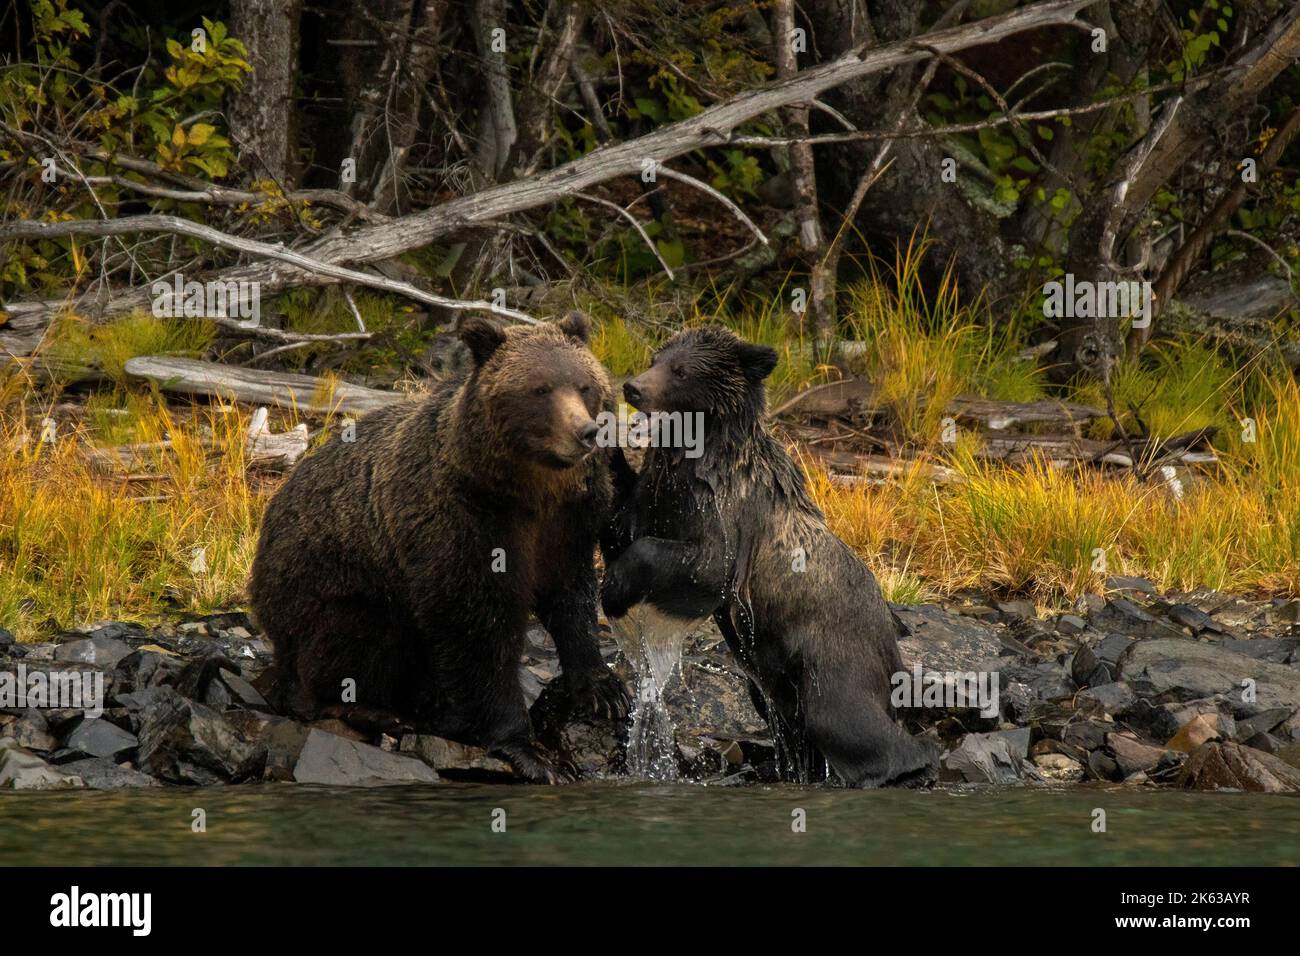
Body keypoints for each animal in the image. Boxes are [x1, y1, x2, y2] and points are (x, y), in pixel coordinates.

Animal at [249, 314, 629, 785]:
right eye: (540, 389)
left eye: (584, 385)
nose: (586, 432)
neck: (530, 490)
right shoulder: (461, 523)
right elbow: (476, 629)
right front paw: (528, 749)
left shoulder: (570, 520)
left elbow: (571, 597)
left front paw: (603, 690)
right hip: (325, 583)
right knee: (351, 641)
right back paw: (376, 711)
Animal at [603, 325, 941, 790]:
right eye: (656, 358)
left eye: (681, 370)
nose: (633, 387)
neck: (697, 451)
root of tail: (891, 641)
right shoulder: (663, 489)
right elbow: (625, 524)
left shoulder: (727, 512)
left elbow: (704, 570)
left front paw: (614, 590)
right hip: (777, 675)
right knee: (784, 716)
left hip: (833, 651)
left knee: (842, 718)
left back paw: (905, 765)